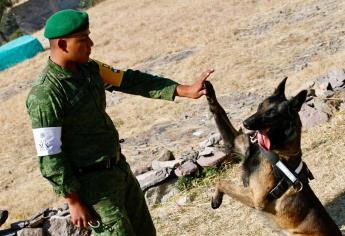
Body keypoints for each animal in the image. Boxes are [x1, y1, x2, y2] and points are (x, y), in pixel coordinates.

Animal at [204, 79, 342, 236]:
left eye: (271, 113)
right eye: (259, 106)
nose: (245, 123)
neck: (273, 148)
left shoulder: (255, 198)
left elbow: (221, 182)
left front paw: (217, 198)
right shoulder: (233, 142)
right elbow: (218, 110)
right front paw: (208, 90)